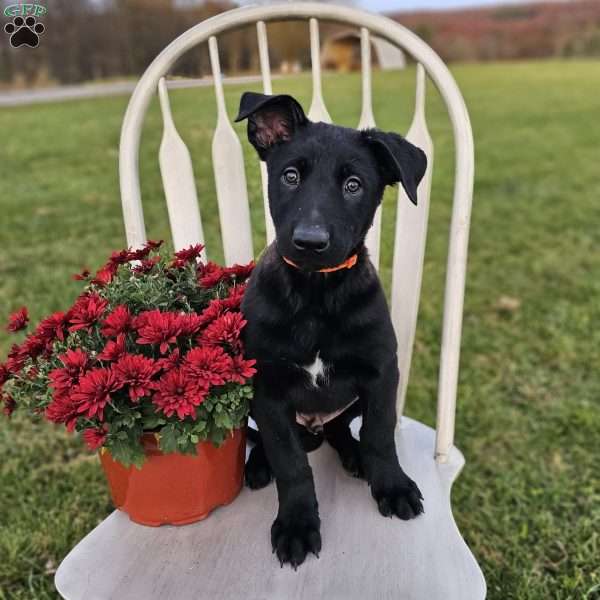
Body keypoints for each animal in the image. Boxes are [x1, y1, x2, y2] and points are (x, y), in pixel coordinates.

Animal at [234, 91, 426, 568]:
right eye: (290, 176)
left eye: (354, 185)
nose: (310, 242)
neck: (315, 296)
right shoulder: (267, 390)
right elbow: (291, 464)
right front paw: (297, 525)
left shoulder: (381, 373)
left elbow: (380, 434)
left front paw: (391, 485)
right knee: (267, 442)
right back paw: (257, 466)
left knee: (342, 429)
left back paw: (354, 457)